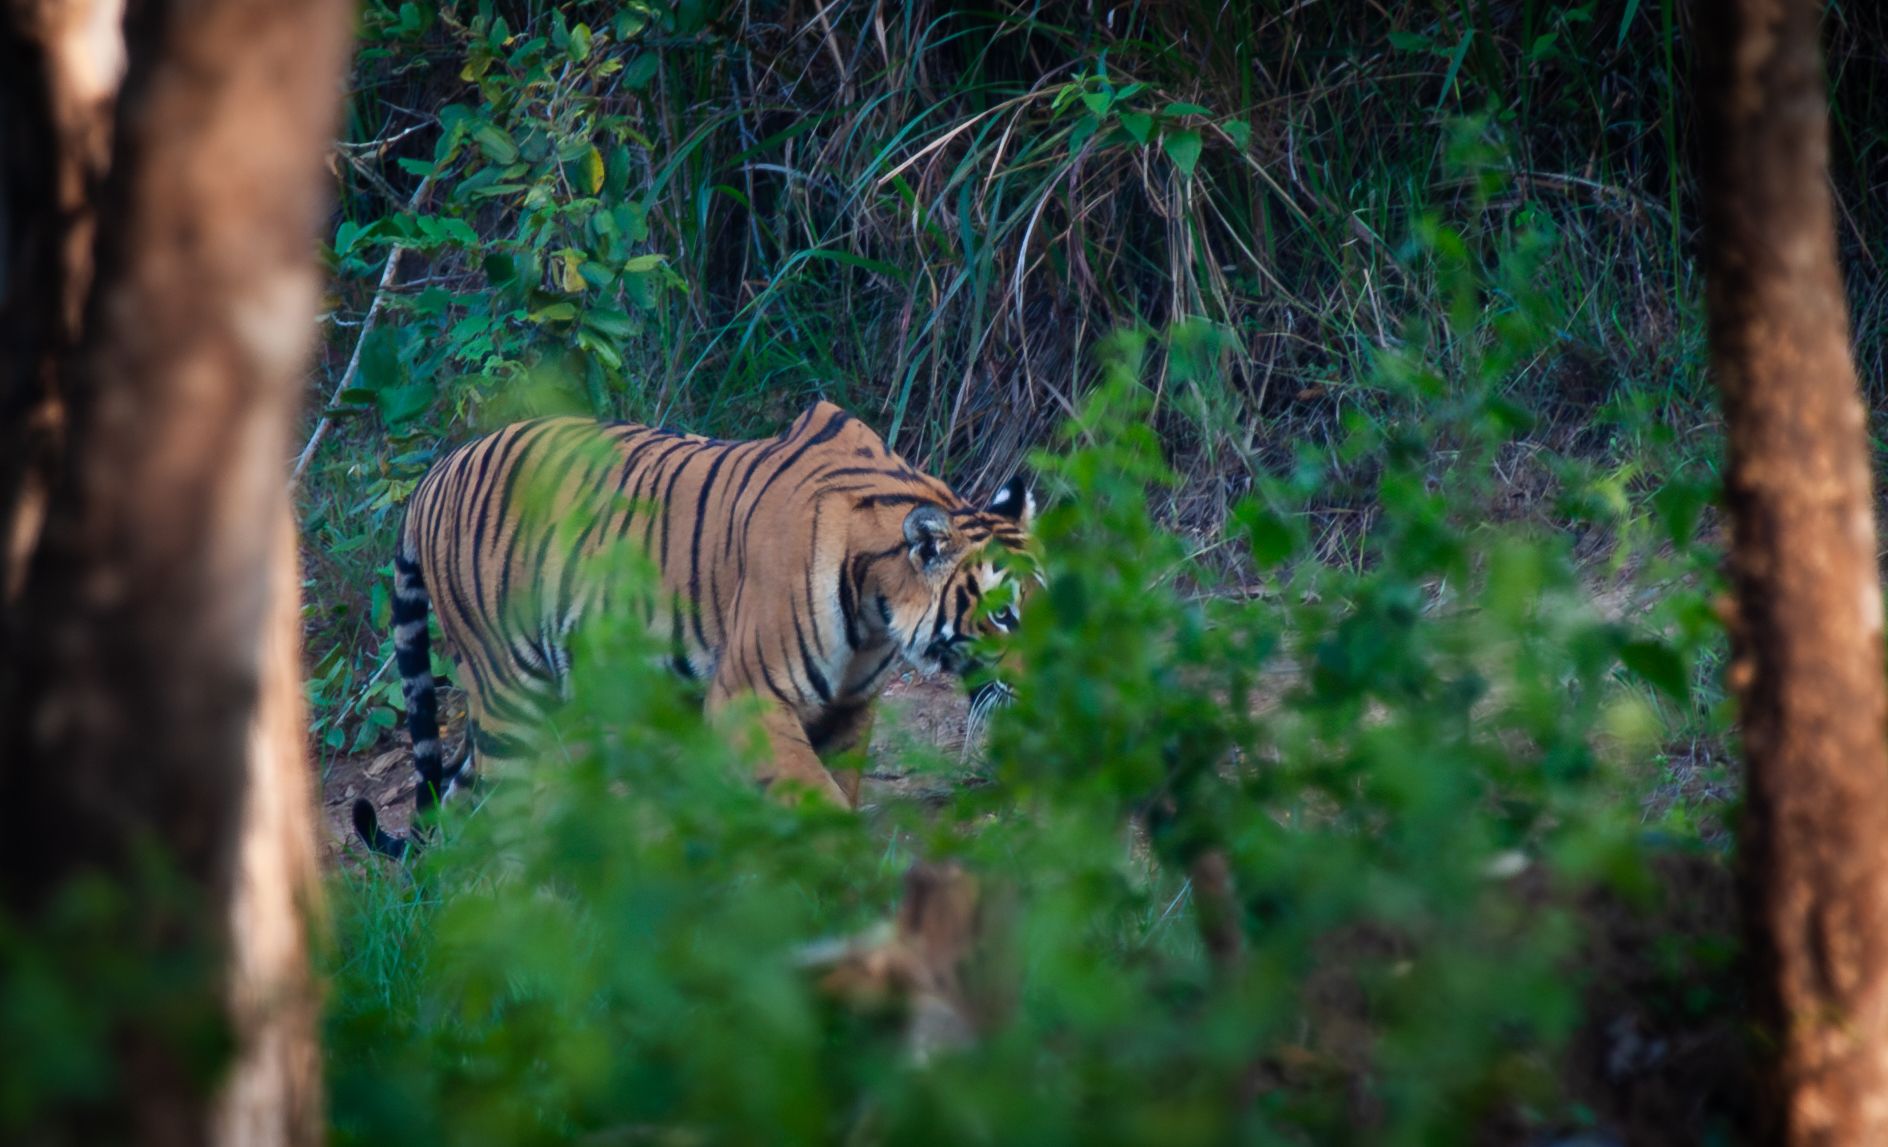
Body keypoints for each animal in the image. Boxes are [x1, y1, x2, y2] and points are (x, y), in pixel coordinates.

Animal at [352, 401, 1035, 857]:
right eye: (1003, 613)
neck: (876, 610)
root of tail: (433, 476)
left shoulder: (851, 706)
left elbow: (836, 787)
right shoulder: (749, 697)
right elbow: (819, 800)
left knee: (459, 803)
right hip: (510, 699)